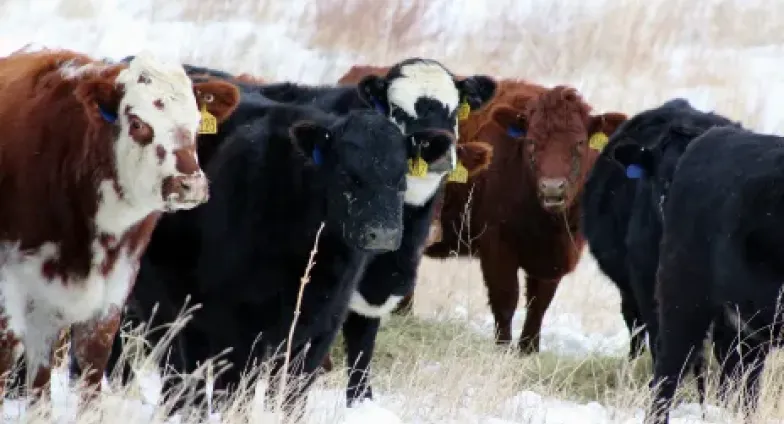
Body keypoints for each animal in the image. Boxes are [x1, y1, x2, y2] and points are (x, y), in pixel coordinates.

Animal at [422, 80, 624, 354]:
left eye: (580, 143)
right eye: (531, 142)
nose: (552, 188)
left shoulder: (554, 259)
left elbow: (539, 305)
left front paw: (528, 350)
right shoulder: (497, 248)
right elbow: (506, 299)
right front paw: (503, 349)